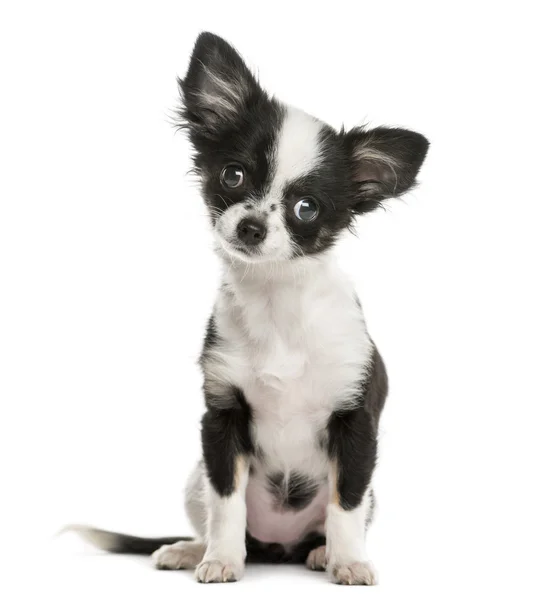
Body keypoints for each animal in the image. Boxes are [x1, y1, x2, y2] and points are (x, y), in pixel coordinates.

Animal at [72, 30, 432, 584]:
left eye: (307, 208)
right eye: (233, 175)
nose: (251, 227)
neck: (277, 301)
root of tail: (278, 550)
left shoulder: (356, 425)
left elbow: (345, 504)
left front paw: (349, 561)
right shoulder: (221, 421)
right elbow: (227, 503)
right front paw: (221, 559)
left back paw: (321, 552)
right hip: (194, 477)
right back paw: (191, 550)